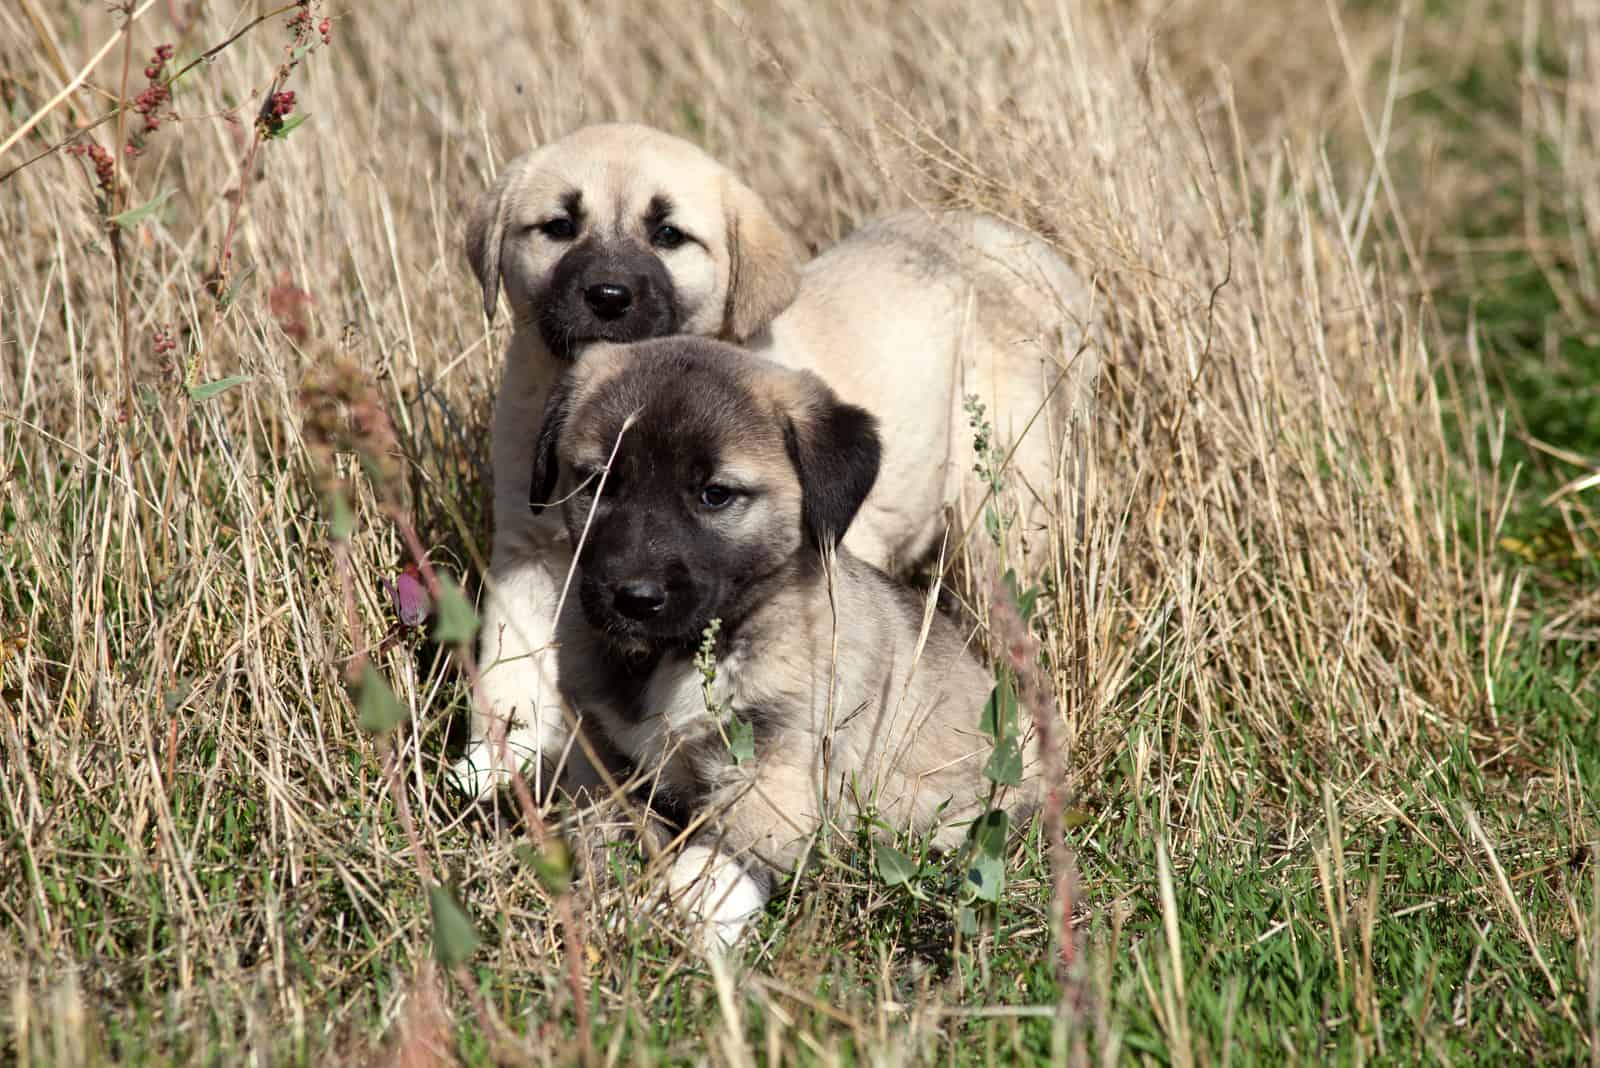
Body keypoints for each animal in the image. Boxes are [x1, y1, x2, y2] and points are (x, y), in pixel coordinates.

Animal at [531, 337, 1043, 946]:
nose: (632, 598)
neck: (679, 657)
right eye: (598, 482)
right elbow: (606, 838)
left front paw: (681, 928)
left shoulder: (774, 769)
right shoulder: (601, 759)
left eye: (715, 495)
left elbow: (715, 866)